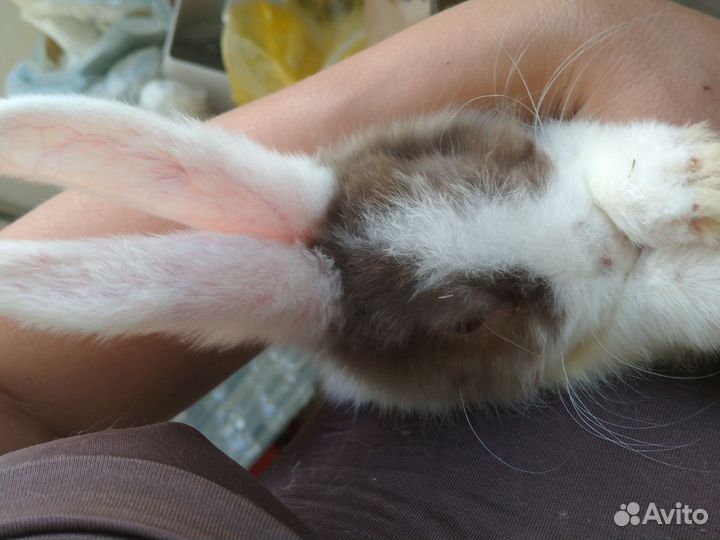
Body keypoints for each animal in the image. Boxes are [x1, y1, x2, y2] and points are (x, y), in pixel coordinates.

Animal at [0, 94, 719, 412]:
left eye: (454, 166)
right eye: (467, 323)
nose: (599, 247)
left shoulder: (575, 144)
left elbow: (615, 165)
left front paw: (697, 180)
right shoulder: (596, 345)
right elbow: (661, 296)